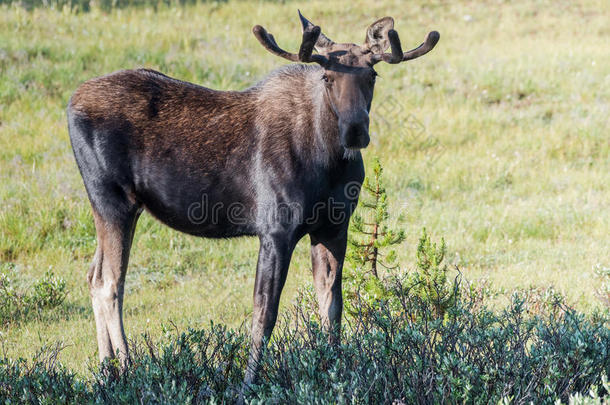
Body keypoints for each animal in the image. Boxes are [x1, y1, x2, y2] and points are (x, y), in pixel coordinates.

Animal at [66, 11, 436, 384]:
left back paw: (107, 372)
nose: (356, 130)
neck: (329, 162)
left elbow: (331, 308)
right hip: (113, 200)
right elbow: (265, 314)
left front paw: (336, 372)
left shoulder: (333, 227)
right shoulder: (275, 230)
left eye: (372, 75)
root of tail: (70, 103)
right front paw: (248, 383)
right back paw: (128, 369)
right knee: (110, 282)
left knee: (93, 275)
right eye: (327, 77)